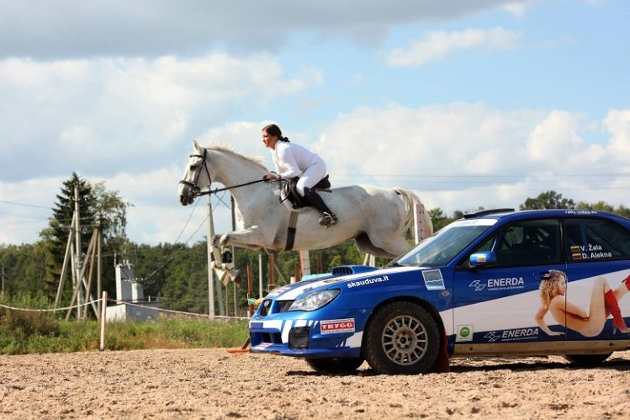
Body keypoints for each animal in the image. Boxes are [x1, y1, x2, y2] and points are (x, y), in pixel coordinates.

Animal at [178, 141, 434, 260]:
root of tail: (394, 192)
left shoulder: (260, 234)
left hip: (388, 239)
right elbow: (218, 238)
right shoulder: (255, 240)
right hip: (371, 243)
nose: (182, 196)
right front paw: (222, 262)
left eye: (193, 166)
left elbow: (222, 237)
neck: (253, 190)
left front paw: (224, 263)